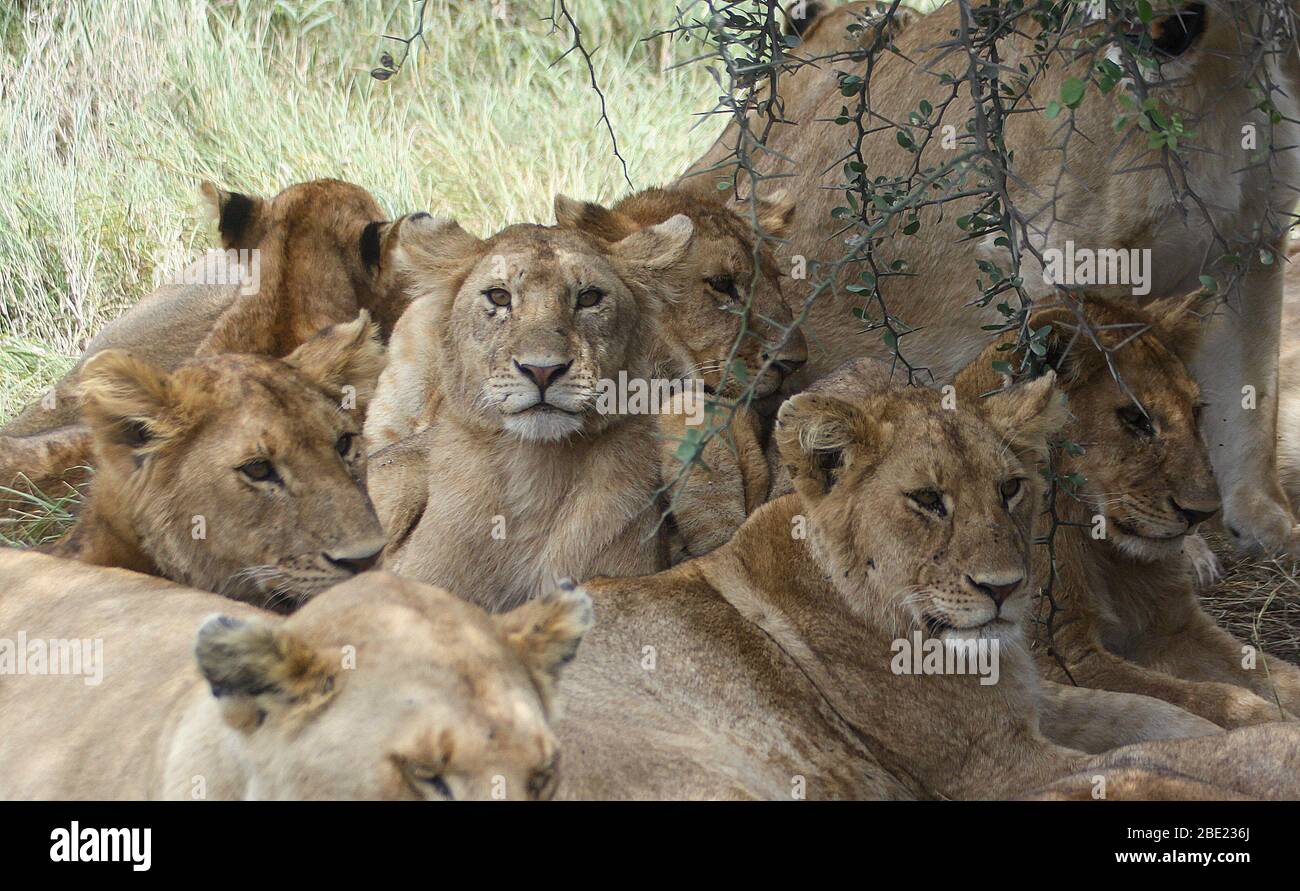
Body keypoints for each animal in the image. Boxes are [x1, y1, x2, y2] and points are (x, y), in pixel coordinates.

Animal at [550, 365, 1300, 800]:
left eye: (1010, 488)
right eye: (927, 500)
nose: (1003, 588)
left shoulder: (1030, 700)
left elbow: (1161, 716)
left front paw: (1250, 717)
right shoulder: (988, 763)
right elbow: (1149, 750)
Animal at [680, 1, 1300, 559]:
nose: (1163, 29)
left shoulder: (1254, 242)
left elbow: (1253, 395)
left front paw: (1264, 524)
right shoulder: (1063, 255)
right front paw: (1177, 545)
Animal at [956, 294, 1300, 727]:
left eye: (1196, 411)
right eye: (1135, 418)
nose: (1202, 514)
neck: (1101, 547)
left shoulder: (1174, 625)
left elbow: (1273, 673)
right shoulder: (1055, 653)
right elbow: (1201, 696)